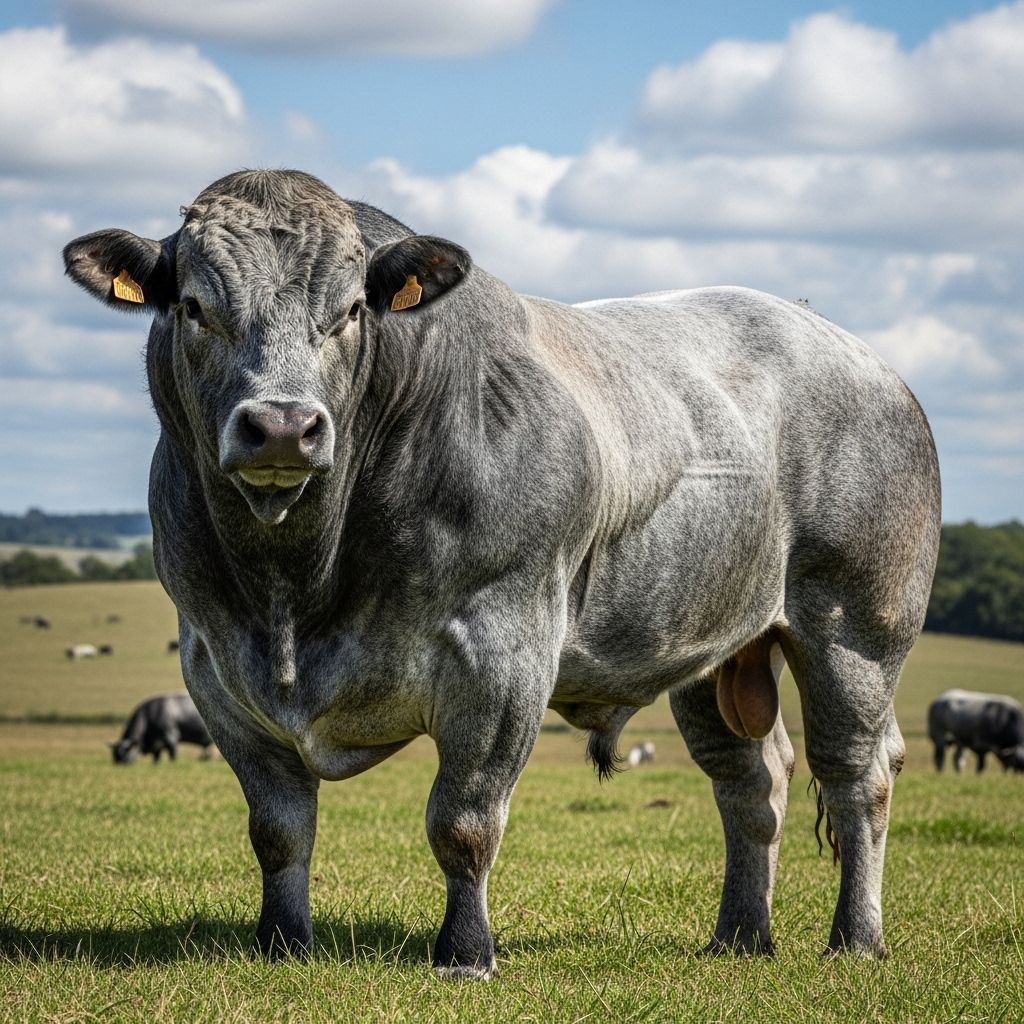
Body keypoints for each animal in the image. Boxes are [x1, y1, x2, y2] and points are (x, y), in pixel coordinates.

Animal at [64, 169, 940, 978]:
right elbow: (278, 828)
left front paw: (465, 952)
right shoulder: (216, 665)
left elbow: (463, 820)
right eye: (193, 308)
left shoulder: (502, 653)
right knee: (751, 781)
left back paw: (855, 939)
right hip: (712, 648)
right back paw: (740, 935)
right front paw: (282, 944)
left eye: (350, 311)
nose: (282, 425)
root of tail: (849, 348)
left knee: (858, 773)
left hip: (857, 628)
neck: (293, 587)